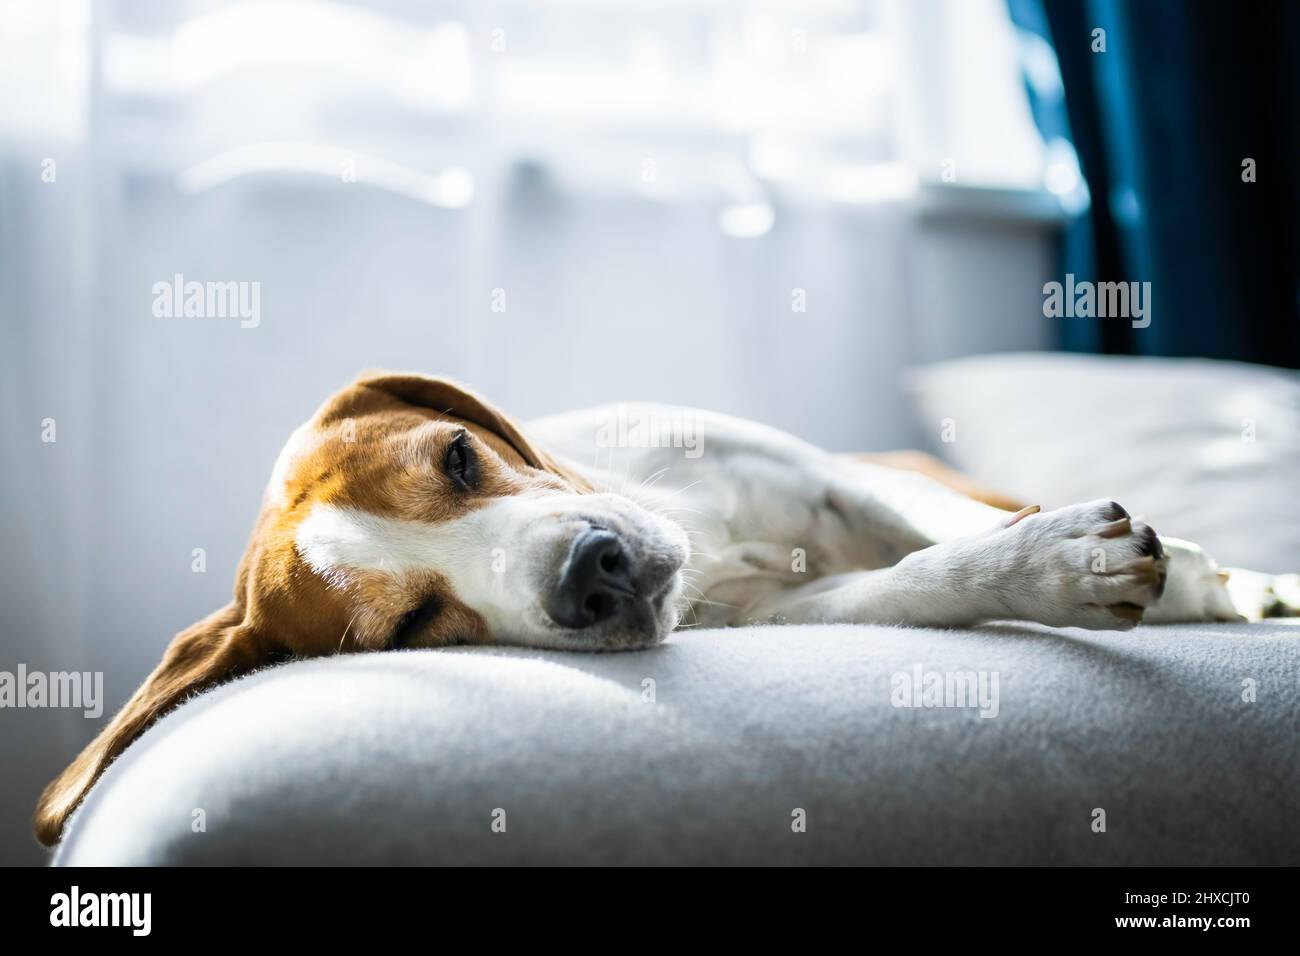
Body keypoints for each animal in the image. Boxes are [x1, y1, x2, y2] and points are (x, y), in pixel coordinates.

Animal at [35, 374, 1294, 842]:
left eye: (458, 456)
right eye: (408, 630)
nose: (592, 568)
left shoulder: (835, 478)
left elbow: (937, 530)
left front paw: (1164, 568)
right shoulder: (801, 609)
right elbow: (929, 575)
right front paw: (1061, 565)